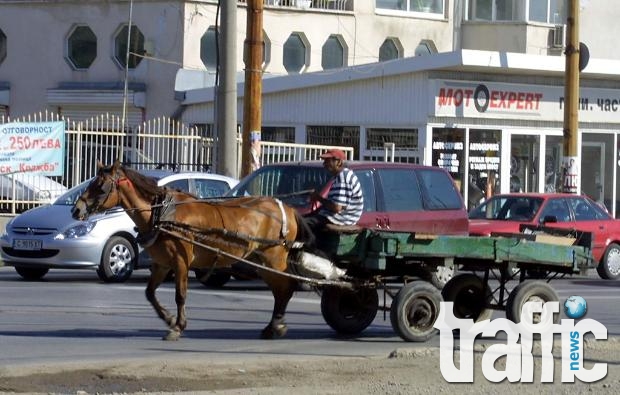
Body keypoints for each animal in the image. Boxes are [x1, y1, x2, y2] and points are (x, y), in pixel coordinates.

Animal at [71, 161, 314, 340]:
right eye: (91, 183)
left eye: (101, 187)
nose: (76, 209)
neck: (161, 213)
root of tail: (287, 208)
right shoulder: (162, 264)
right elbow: (149, 293)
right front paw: (169, 319)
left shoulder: (180, 261)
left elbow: (180, 294)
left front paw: (177, 326)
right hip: (260, 262)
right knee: (280, 290)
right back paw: (273, 326)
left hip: (274, 259)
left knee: (286, 288)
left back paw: (276, 325)